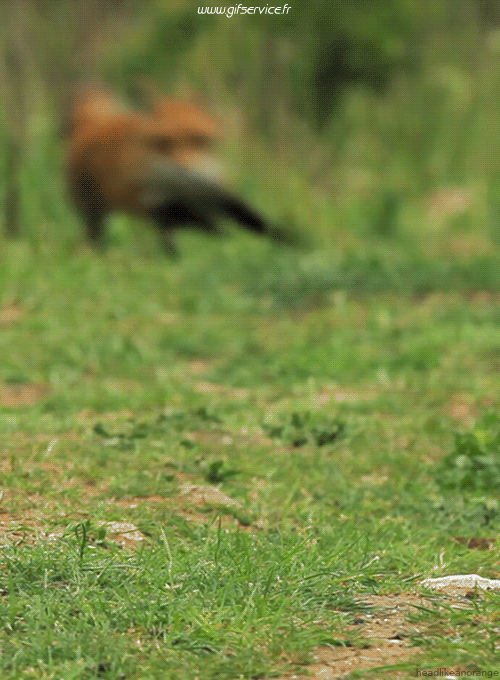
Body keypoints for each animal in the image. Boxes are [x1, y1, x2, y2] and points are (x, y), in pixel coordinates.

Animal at [65, 83, 300, 255]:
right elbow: (209, 225)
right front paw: (226, 238)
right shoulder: (159, 206)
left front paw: (293, 242)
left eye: (199, 139)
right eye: (164, 142)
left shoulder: (219, 195)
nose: (183, 170)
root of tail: (93, 123)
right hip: (96, 213)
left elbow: (260, 223)